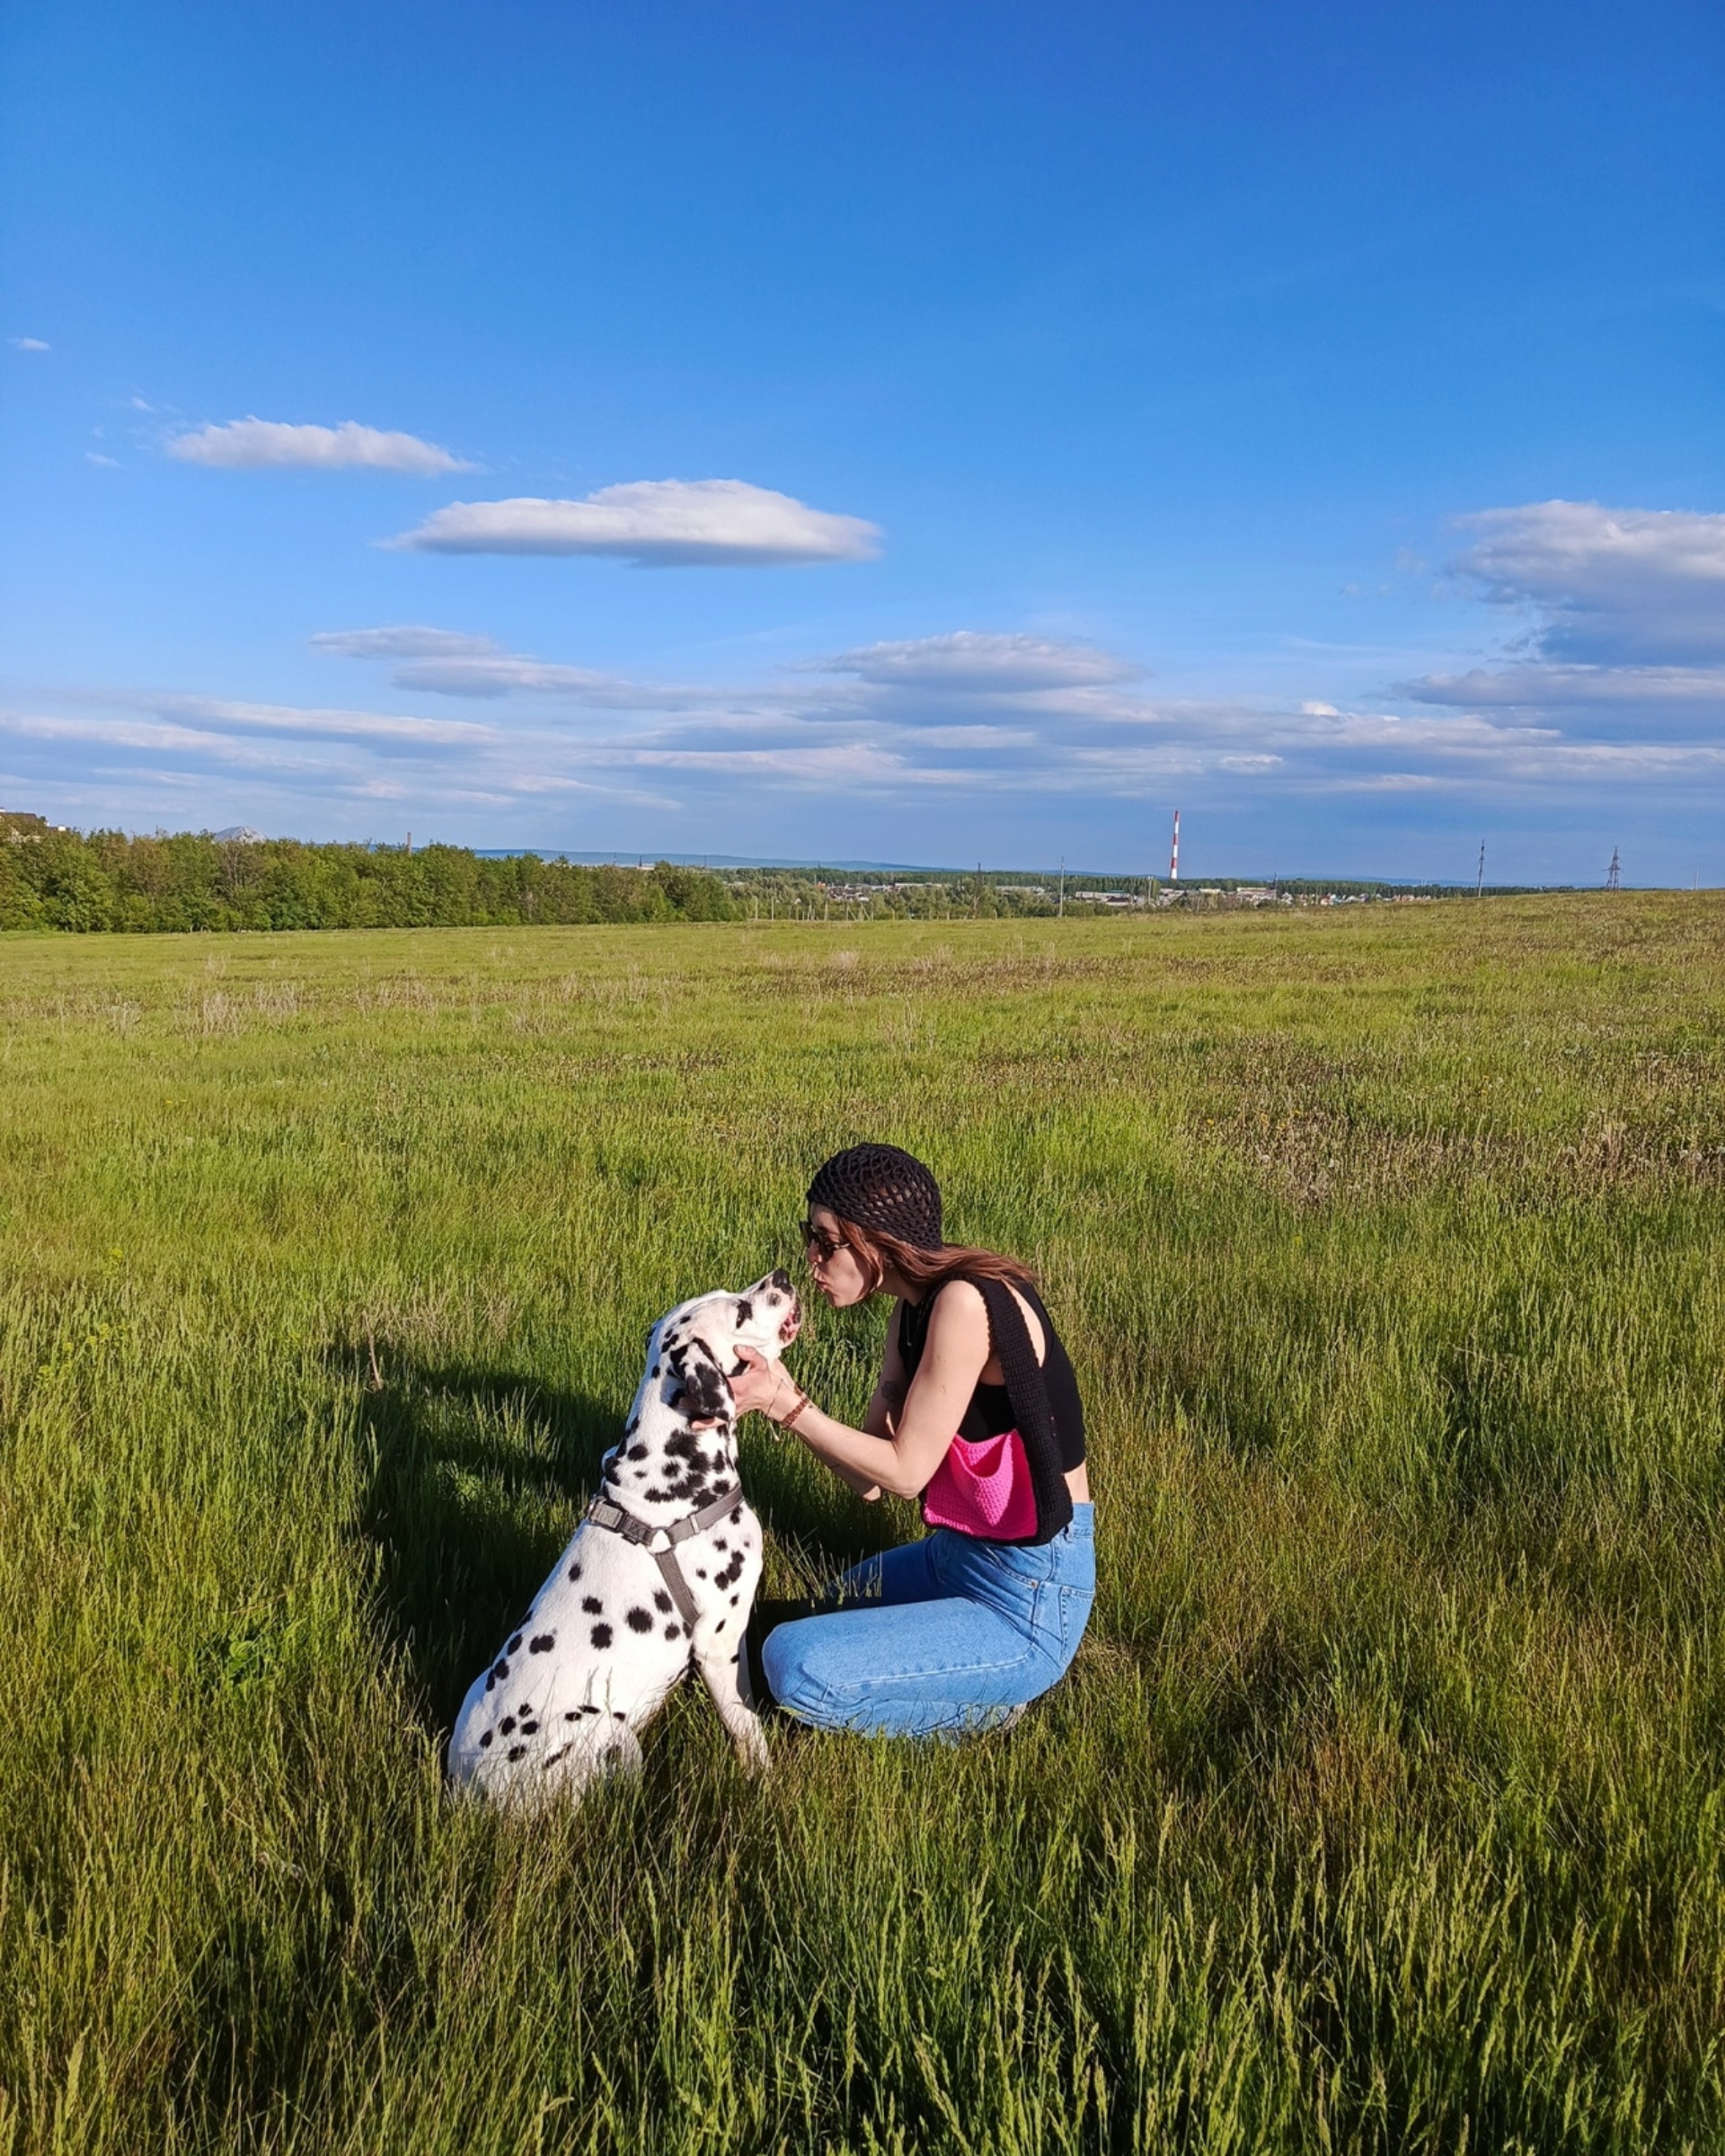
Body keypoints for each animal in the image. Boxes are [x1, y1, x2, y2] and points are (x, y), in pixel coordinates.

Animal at [442, 1268, 798, 1811]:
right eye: (740, 1310)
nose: (781, 1276)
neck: (673, 1477)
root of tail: (472, 1794)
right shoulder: (719, 1644)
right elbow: (747, 1724)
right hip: (612, 1733)